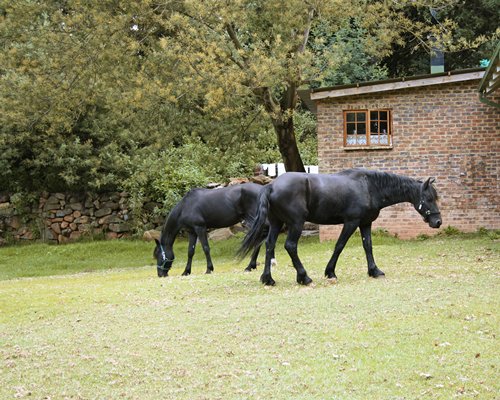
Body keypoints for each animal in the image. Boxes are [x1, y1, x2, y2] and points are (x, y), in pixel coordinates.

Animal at [238, 167, 442, 286]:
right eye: (429, 198)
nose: (438, 222)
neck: (368, 186)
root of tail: (271, 186)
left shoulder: (365, 223)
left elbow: (368, 246)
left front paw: (374, 271)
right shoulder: (351, 222)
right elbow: (339, 246)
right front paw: (330, 272)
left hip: (276, 223)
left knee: (269, 245)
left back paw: (268, 279)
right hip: (296, 223)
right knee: (290, 246)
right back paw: (304, 277)